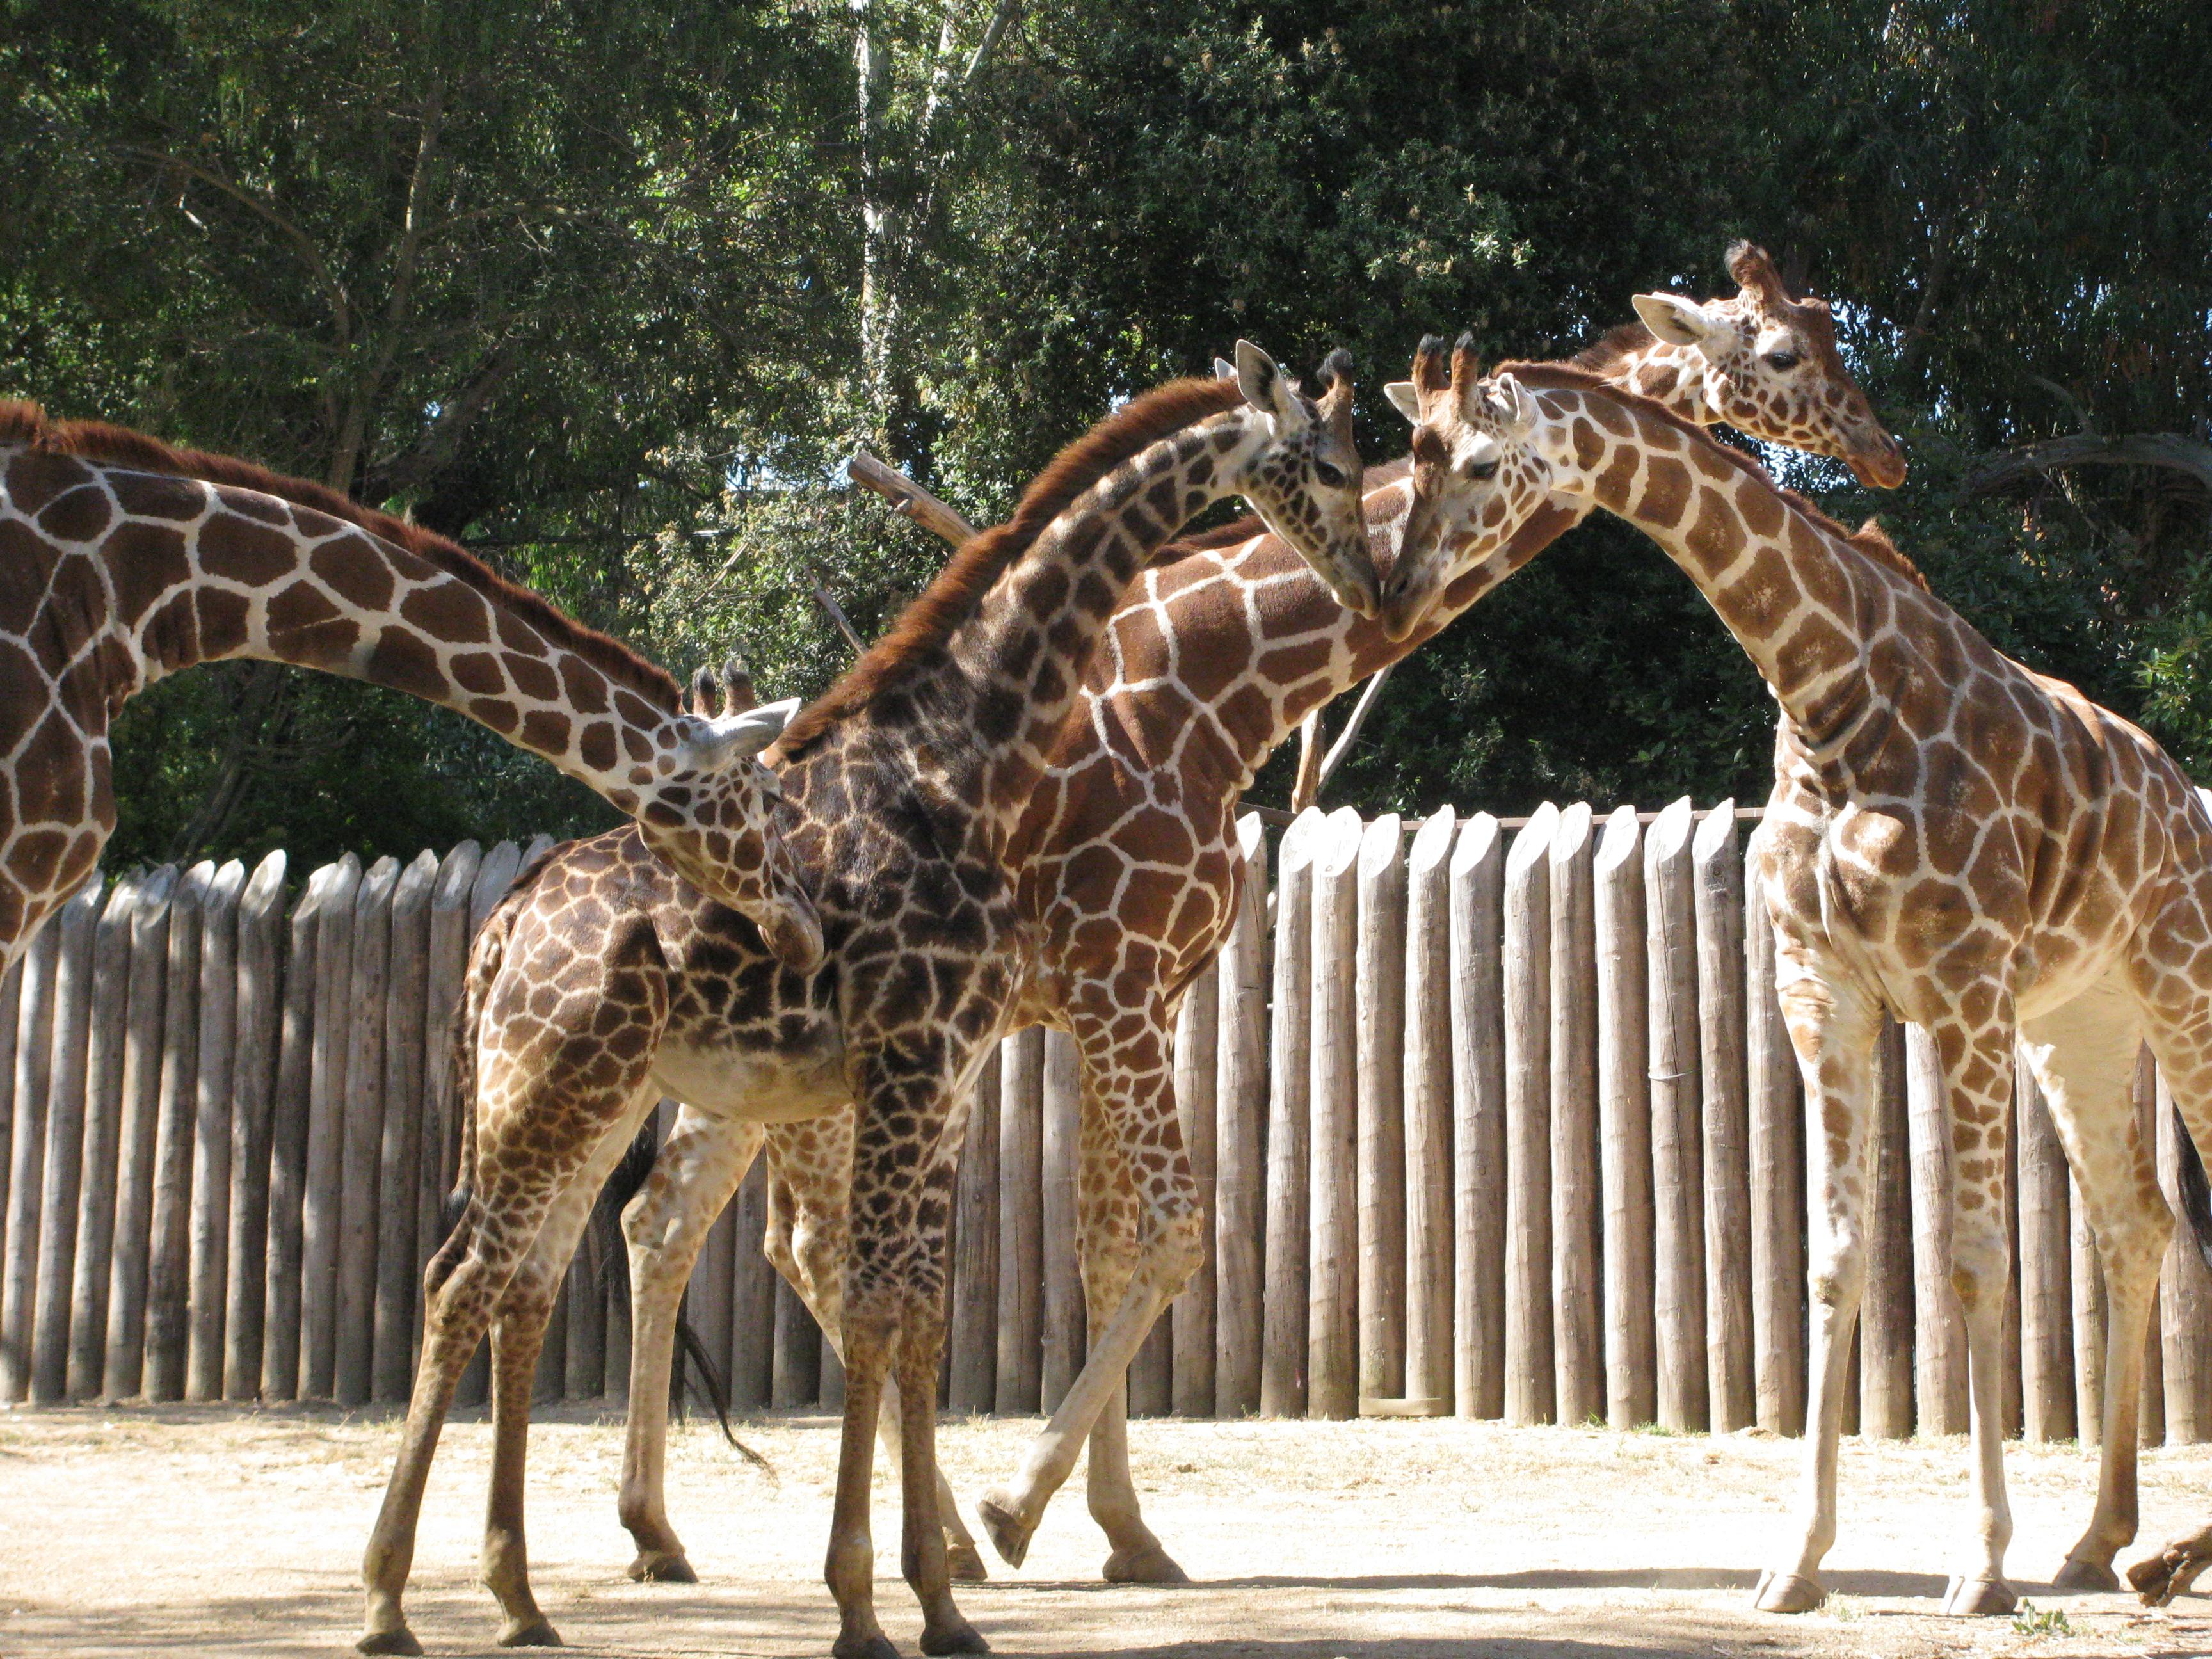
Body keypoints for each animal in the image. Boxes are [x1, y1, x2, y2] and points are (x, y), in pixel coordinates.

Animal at [351, 345, 1371, 1655]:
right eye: (1333, 464)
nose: (1371, 578)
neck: (960, 759)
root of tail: (503, 926)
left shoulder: (946, 1062)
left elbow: (921, 1307)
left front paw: (933, 1593)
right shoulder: (935, 1050)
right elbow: (888, 1301)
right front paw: (887, 1593)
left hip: (595, 1090)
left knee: (535, 1272)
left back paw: (527, 1593)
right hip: (563, 1087)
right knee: (470, 1279)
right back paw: (395, 1599)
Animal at [614, 239, 1911, 1592]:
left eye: (1834, 324)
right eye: (1783, 351)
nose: (1881, 453)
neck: (1214, 688)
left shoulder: (1138, 991)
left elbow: (1110, 1244)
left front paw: (1123, 1530)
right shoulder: (1116, 980)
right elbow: (1169, 1233)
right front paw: (1022, 1507)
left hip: (770, 1058)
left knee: (680, 1221)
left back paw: (667, 1529)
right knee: (767, 1235)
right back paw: (860, 1533)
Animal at [1389, 341, 2212, 1628]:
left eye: (1476, 461)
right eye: (1409, 458)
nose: (1398, 588)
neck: (1828, 696)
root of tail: (2186, 798)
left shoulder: (1964, 983)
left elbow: (1974, 1257)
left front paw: (1980, 1564)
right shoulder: (1822, 987)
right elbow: (1833, 1258)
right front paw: (1798, 1560)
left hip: (2179, 981)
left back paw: (2158, 1552)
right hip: (2081, 1019)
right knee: (2135, 1223)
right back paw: (2105, 1544)